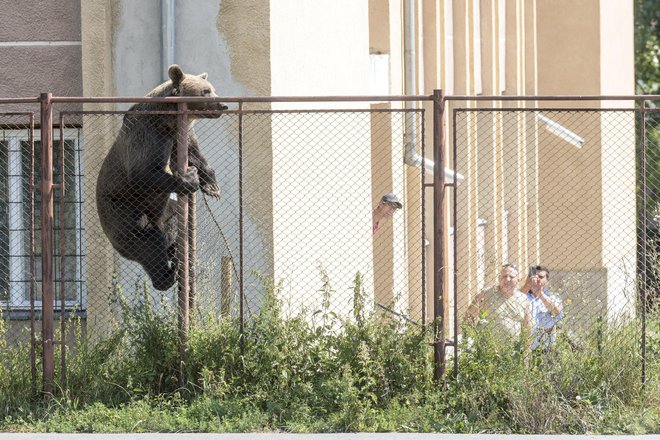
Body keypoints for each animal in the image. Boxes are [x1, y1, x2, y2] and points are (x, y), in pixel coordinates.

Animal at [96, 65, 227, 290]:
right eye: (205, 91)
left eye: (212, 89)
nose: (222, 104)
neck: (169, 122)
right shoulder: (147, 134)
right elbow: (142, 173)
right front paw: (190, 178)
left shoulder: (180, 136)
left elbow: (195, 156)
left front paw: (212, 187)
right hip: (123, 210)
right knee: (146, 239)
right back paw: (169, 274)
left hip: (165, 212)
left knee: (172, 228)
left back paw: (180, 257)